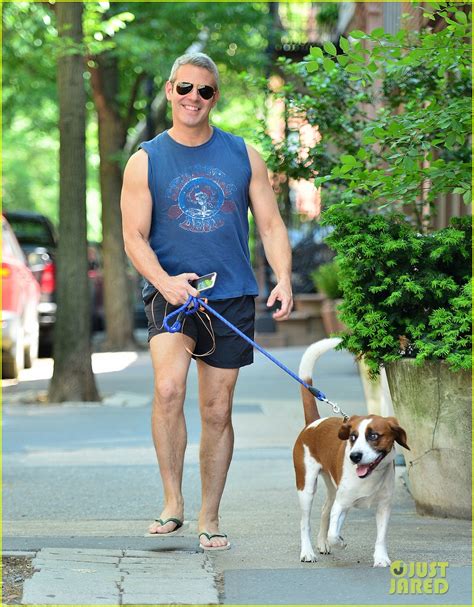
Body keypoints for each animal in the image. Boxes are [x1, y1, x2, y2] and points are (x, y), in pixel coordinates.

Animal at [292, 340, 408, 568]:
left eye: (374, 436)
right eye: (353, 436)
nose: (355, 457)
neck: (370, 477)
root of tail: (313, 423)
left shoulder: (383, 507)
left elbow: (381, 537)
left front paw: (381, 558)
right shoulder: (342, 504)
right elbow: (334, 534)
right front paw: (340, 542)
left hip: (332, 487)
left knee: (324, 510)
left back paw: (321, 544)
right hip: (306, 487)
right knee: (304, 522)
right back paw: (308, 551)